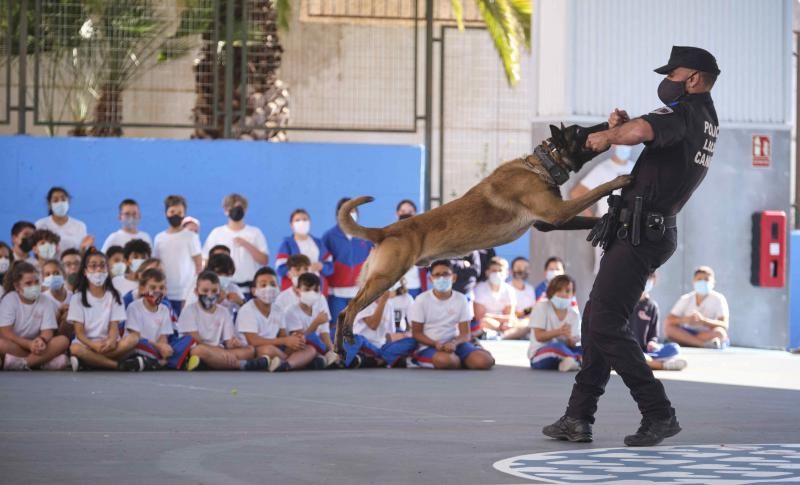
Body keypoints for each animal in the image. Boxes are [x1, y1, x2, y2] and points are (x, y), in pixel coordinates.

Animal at [332, 121, 632, 350]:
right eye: (580, 131)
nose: (607, 125)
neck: (542, 165)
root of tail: (386, 231)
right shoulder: (558, 213)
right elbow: (599, 189)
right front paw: (619, 180)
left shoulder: (550, 222)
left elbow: (590, 219)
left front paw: (609, 223)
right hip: (385, 278)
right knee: (350, 308)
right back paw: (346, 336)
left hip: (377, 279)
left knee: (342, 311)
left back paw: (339, 347)